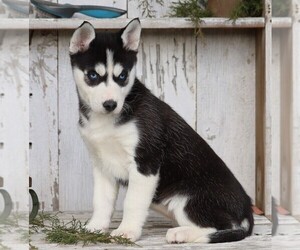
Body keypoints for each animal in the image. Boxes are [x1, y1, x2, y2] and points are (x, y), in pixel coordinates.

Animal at [69, 18, 253, 244]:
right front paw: (95, 227)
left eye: (122, 76)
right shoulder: (102, 165)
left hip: (188, 199)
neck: (108, 121)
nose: (110, 104)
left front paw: (126, 231)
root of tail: (248, 213)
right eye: (93, 75)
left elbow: (132, 202)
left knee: (221, 226)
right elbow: (101, 201)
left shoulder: (146, 162)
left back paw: (181, 233)